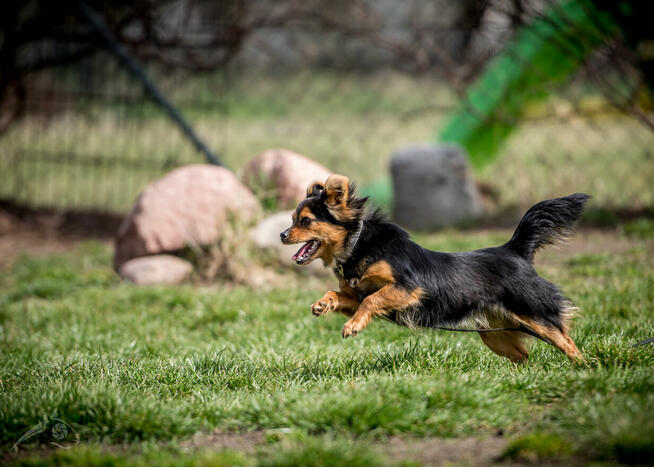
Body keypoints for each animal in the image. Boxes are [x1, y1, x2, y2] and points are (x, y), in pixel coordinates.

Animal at [280, 176, 592, 362]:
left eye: (305, 221)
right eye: (292, 219)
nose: (282, 235)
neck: (358, 245)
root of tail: (514, 250)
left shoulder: (407, 288)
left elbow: (372, 300)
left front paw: (353, 325)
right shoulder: (356, 294)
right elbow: (340, 294)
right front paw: (323, 304)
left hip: (533, 314)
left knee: (567, 342)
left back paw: (584, 368)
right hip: (494, 332)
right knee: (524, 357)